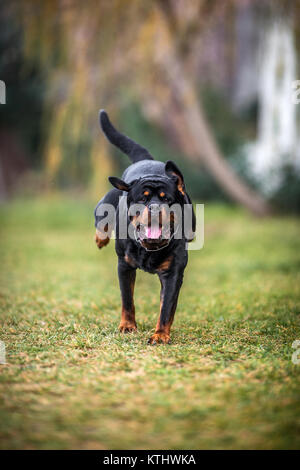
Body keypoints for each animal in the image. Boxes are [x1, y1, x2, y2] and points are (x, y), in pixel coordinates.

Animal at [95, 110, 196, 346]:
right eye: (143, 198)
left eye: (166, 199)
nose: (155, 208)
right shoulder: (124, 266)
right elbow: (127, 300)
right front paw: (128, 326)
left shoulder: (173, 272)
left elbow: (166, 307)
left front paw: (160, 334)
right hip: (109, 198)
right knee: (100, 218)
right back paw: (100, 238)